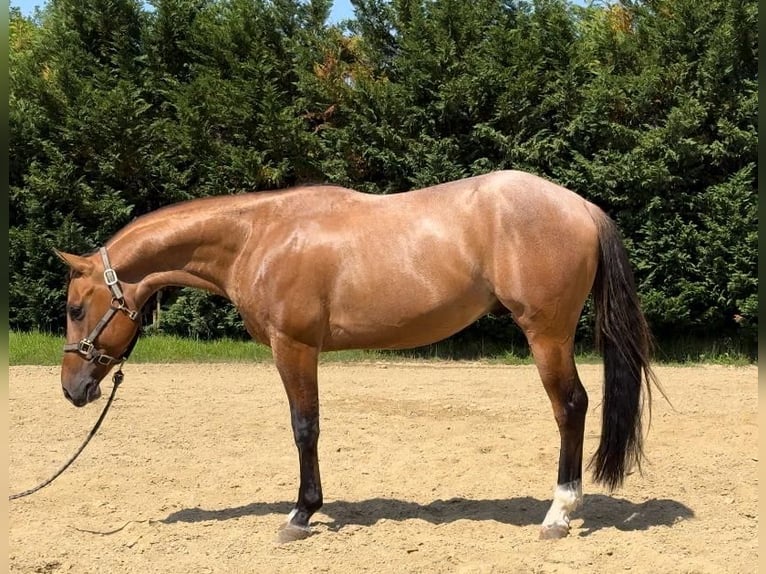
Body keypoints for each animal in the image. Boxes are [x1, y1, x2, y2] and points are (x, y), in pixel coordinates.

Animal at [55, 169, 658, 541]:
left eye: (76, 308)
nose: (72, 388)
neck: (258, 236)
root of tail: (581, 206)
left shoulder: (294, 347)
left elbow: (304, 426)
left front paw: (301, 513)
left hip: (547, 335)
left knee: (571, 407)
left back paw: (558, 513)